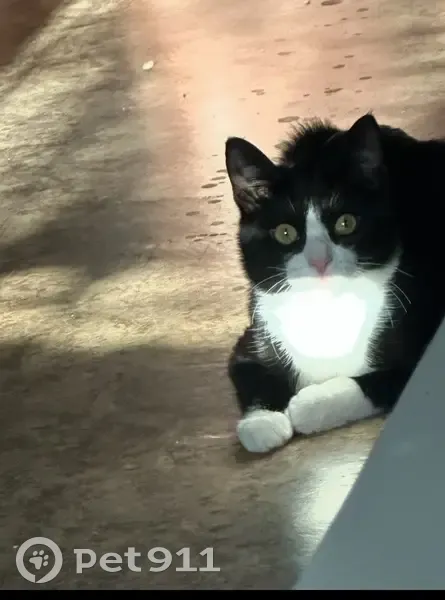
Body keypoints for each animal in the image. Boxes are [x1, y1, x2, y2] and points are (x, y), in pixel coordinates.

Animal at [225, 113, 445, 453]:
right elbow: (250, 371)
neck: (327, 312)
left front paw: (311, 403)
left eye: (346, 223)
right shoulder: (253, 335)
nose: (320, 260)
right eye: (285, 233)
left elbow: (374, 382)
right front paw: (262, 423)